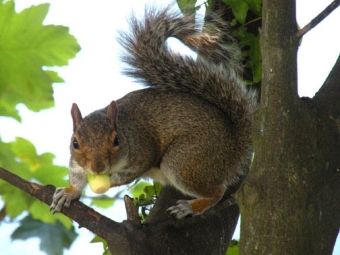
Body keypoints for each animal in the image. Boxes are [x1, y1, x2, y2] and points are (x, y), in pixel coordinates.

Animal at [49, 4, 255, 218]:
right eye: (75, 143)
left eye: (116, 141)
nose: (98, 168)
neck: (125, 129)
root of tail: (235, 144)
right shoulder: (76, 163)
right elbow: (77, 177)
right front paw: (69, 193)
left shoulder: (143, 151)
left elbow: (130, 173)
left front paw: (112, 180)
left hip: (185, 160)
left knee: (217, 191)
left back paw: (191, 207)